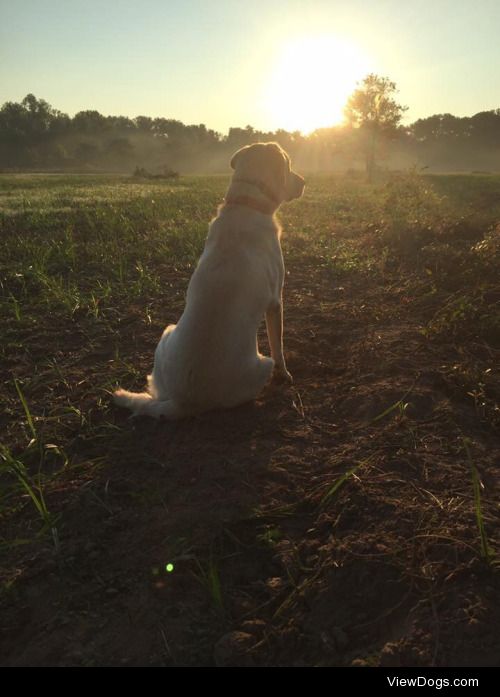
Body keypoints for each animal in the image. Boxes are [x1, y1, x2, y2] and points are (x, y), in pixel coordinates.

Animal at [113, 139, 304, 416]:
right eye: (289, 165)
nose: (304, 182)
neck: (246, 203)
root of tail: (183, 401)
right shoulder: (275, 302)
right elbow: (278, 346)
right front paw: (286, 374)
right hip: (261, 364)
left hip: (164, 340)